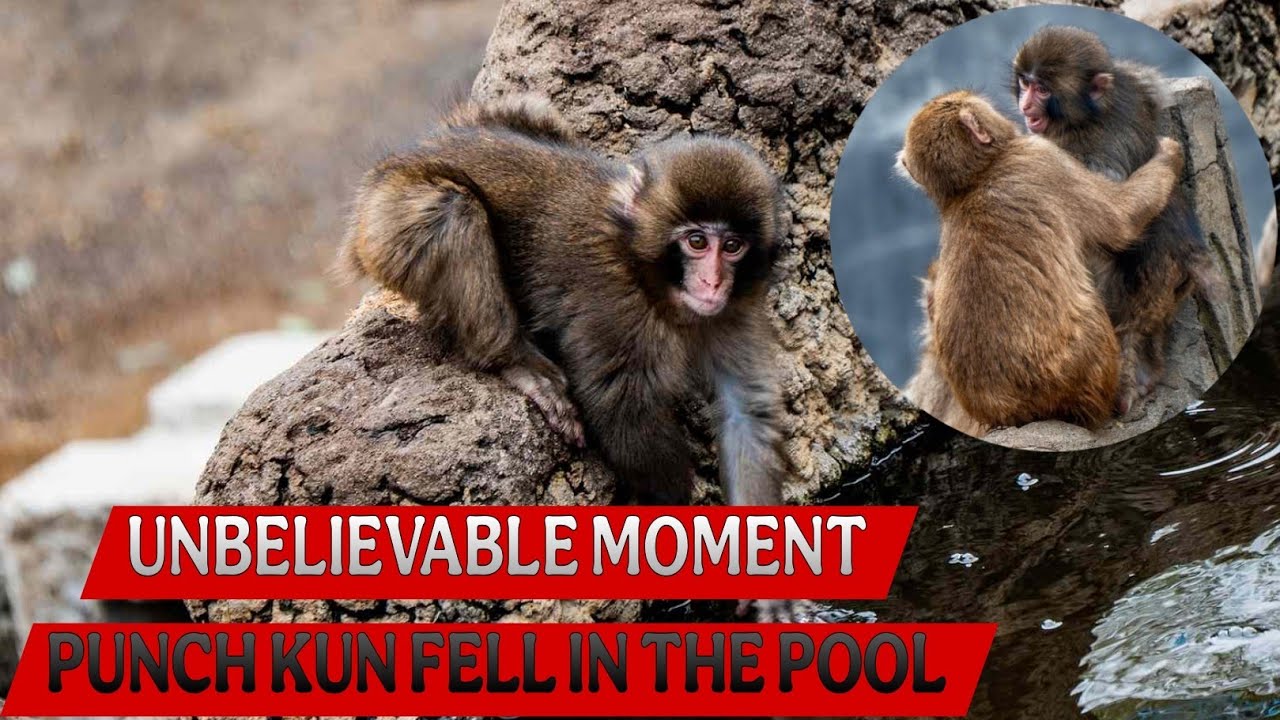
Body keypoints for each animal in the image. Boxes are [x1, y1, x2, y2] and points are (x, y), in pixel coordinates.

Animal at [340, 94, 790, 508]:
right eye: (697, 242)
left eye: (732, 246)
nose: (713, 283)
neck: (643, 268)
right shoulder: (616, 306)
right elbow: (624, 412)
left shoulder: (736, 312)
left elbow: (746, 415)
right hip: (387, 217)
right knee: (452, 210)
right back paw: (514, 360)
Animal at [896, 90, 1185, 430]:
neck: (973, 180)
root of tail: (1013, 411)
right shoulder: (1043, 158)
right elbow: (1122, 218)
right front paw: (1168, 153)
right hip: (1089, 369)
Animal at [1013, 26, 1214, 413]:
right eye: (1026, 83)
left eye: (1042, 89)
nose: (1025, 106)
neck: (1089, 116)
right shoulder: (1134, 84)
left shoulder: (1072, 156)